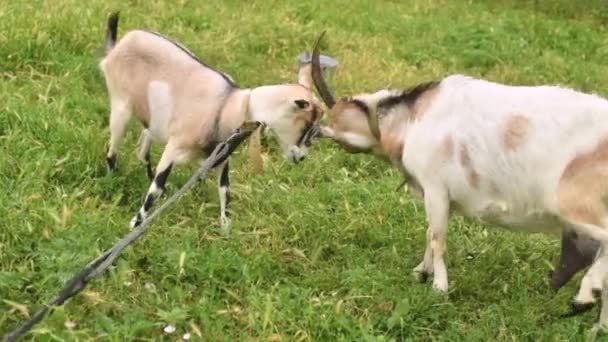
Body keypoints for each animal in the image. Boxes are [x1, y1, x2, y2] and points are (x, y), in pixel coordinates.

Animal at [98, 12, 324, 232]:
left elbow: (225, 191)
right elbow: (157, 187)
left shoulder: (221, 158)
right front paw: (135, 224)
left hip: (151, 119)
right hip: (120, 106)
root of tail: (117, 47)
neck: (228, 104)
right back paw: (110, 183)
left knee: (143, 146)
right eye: (306, 124)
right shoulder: (174, 146)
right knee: (111, 151)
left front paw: (226, 231)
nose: (301, 157)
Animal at [312, 34, 608, 326]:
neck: (413, 117)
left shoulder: (435, 188)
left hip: (574, 204)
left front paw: (439, 287)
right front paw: (421, 272)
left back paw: (585, 295)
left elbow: (437, 238)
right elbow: (430, 232)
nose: (318, 132)